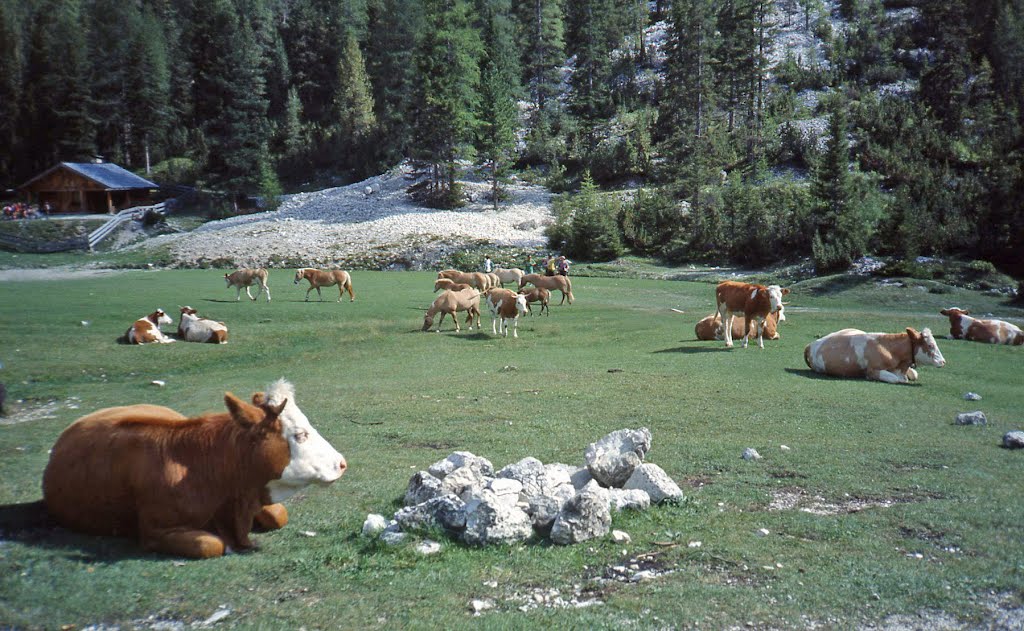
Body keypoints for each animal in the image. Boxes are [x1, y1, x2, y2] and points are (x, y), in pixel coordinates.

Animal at [802, 329, 946, 385]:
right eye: (930, 345)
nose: (943, 362)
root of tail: (811, 344)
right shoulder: (873, 371)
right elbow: (895, 379)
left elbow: (914, 374)